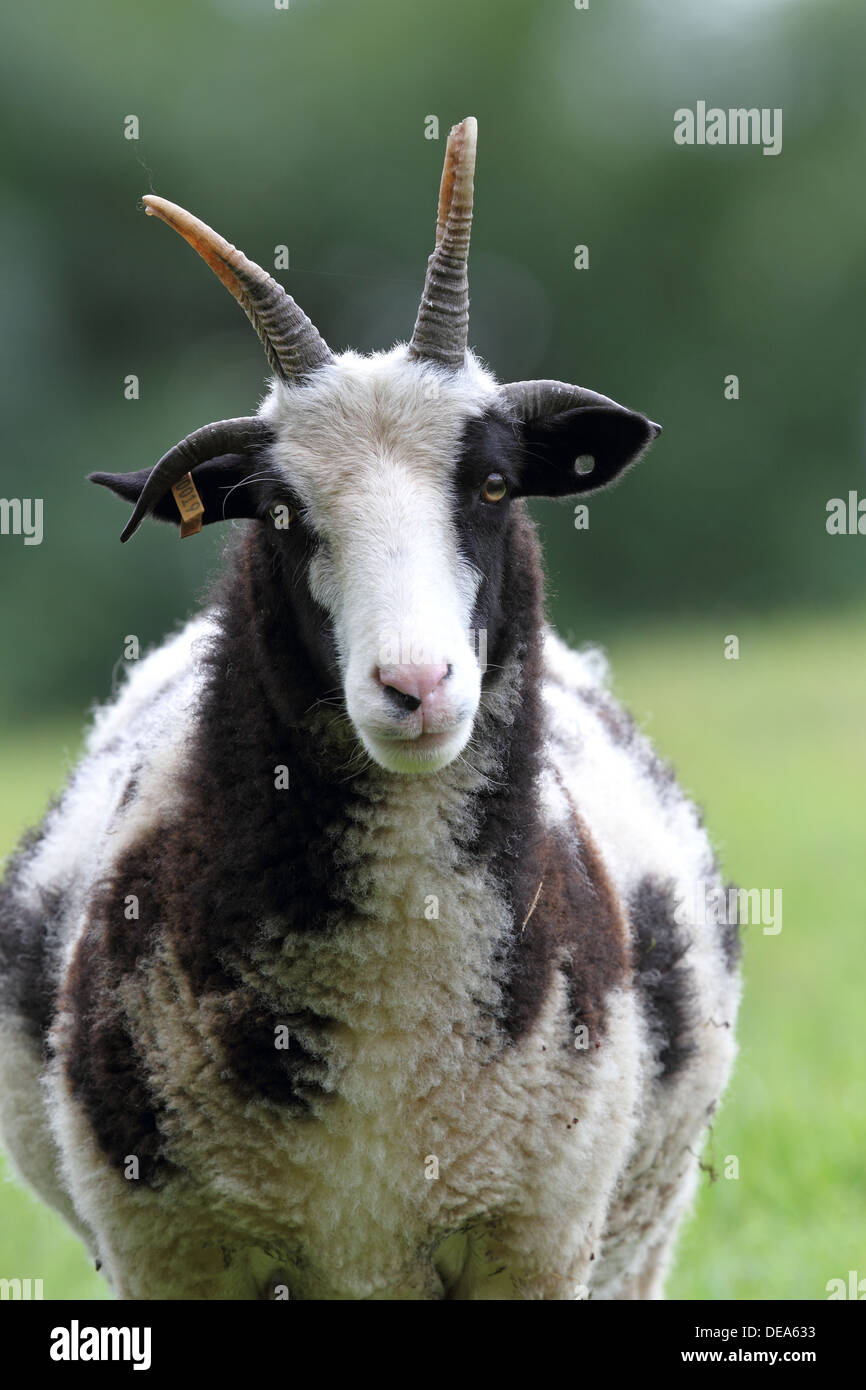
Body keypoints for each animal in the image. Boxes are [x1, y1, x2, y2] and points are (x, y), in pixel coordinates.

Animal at [0, 119, 739, 1301]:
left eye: (493, 486)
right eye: (281, 512)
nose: (416, 685)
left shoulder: (533, 1241)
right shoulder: (171, 1252)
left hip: (637, 1237)